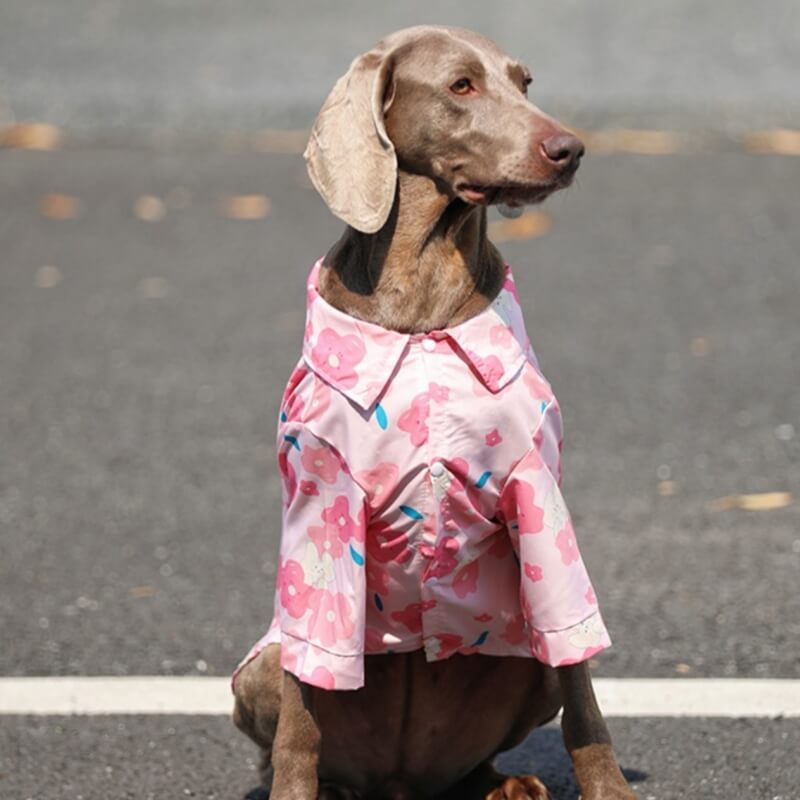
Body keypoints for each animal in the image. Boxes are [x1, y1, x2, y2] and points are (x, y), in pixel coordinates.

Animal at [231, 25, 636, 800]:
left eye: (525, 82)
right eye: (461, 86)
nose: (570, 148)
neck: (422, 304)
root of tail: (401, 783)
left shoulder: (539, 497)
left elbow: (582, 685)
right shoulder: (322, 507)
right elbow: (303, 716)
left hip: (522, 661)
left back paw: (504, 784)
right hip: (257, 669)